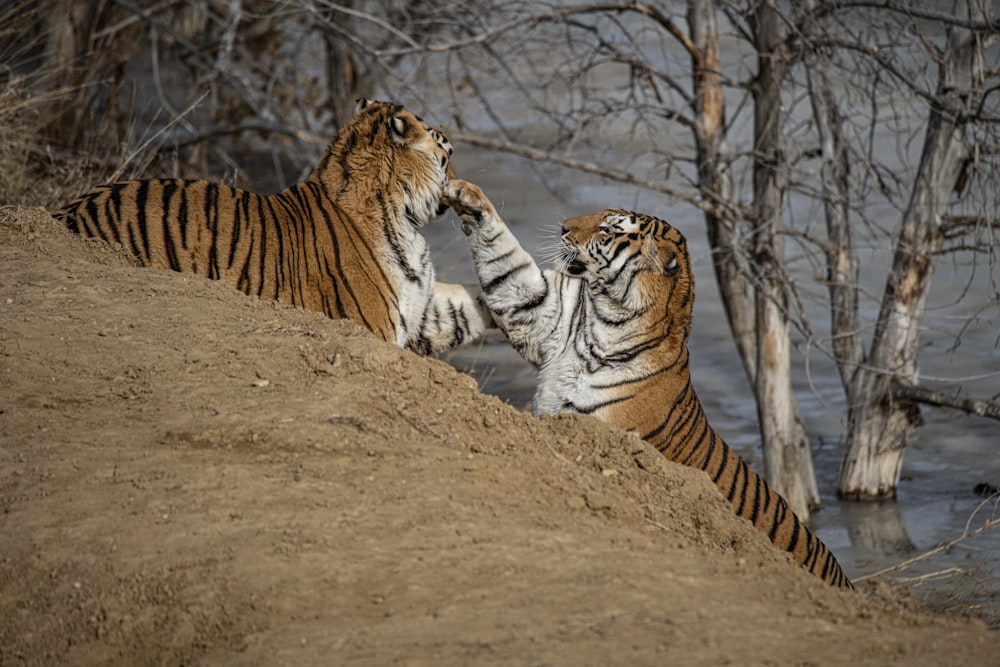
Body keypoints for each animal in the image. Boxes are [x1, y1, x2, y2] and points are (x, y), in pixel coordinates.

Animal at [54, 98, 492, 354]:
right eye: (448, 153)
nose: (458, 183)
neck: (402, 218)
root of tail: (65, 213)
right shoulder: (375, 328)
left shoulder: (420, 306)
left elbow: (465, 302)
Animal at [444, 179, 852, 588]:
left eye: (608, 229)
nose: (563, 227)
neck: (604, 319)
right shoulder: (540, 308)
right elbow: (507, 263)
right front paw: (465, 193)